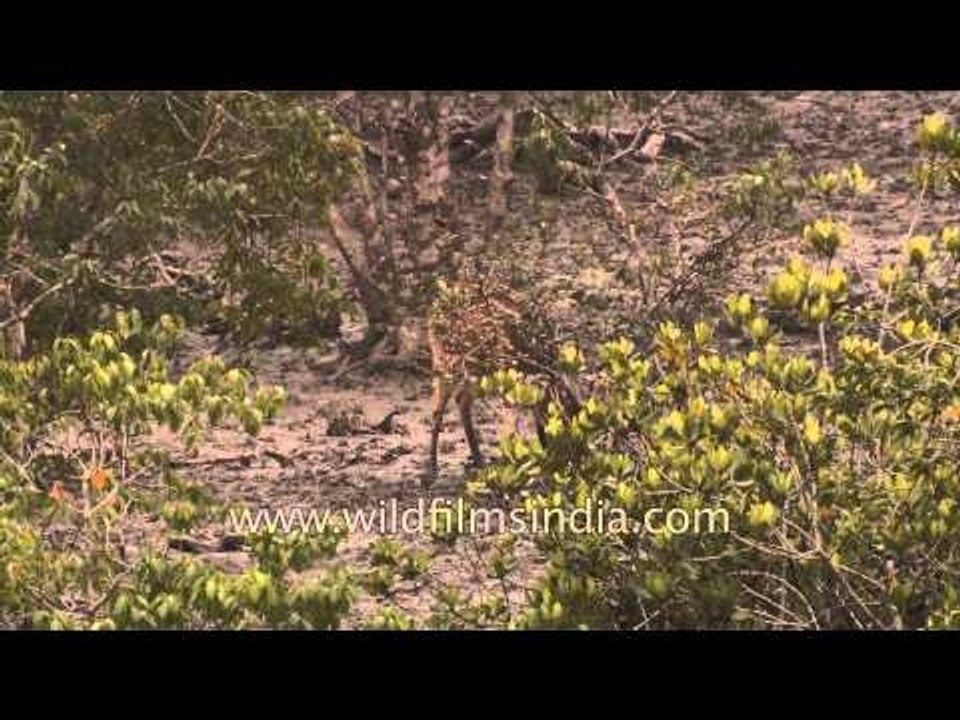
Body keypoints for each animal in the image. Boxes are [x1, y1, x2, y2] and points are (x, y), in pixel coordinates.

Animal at [422, 272, 580, 487]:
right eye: (566, 422)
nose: (570, 462)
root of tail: (434, 310)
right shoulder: (509, 377)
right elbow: (512, 422)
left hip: (471, 368)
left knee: (459, 401)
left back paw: (476, 460)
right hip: (449, 359)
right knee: (441, 406)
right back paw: (433, 468)